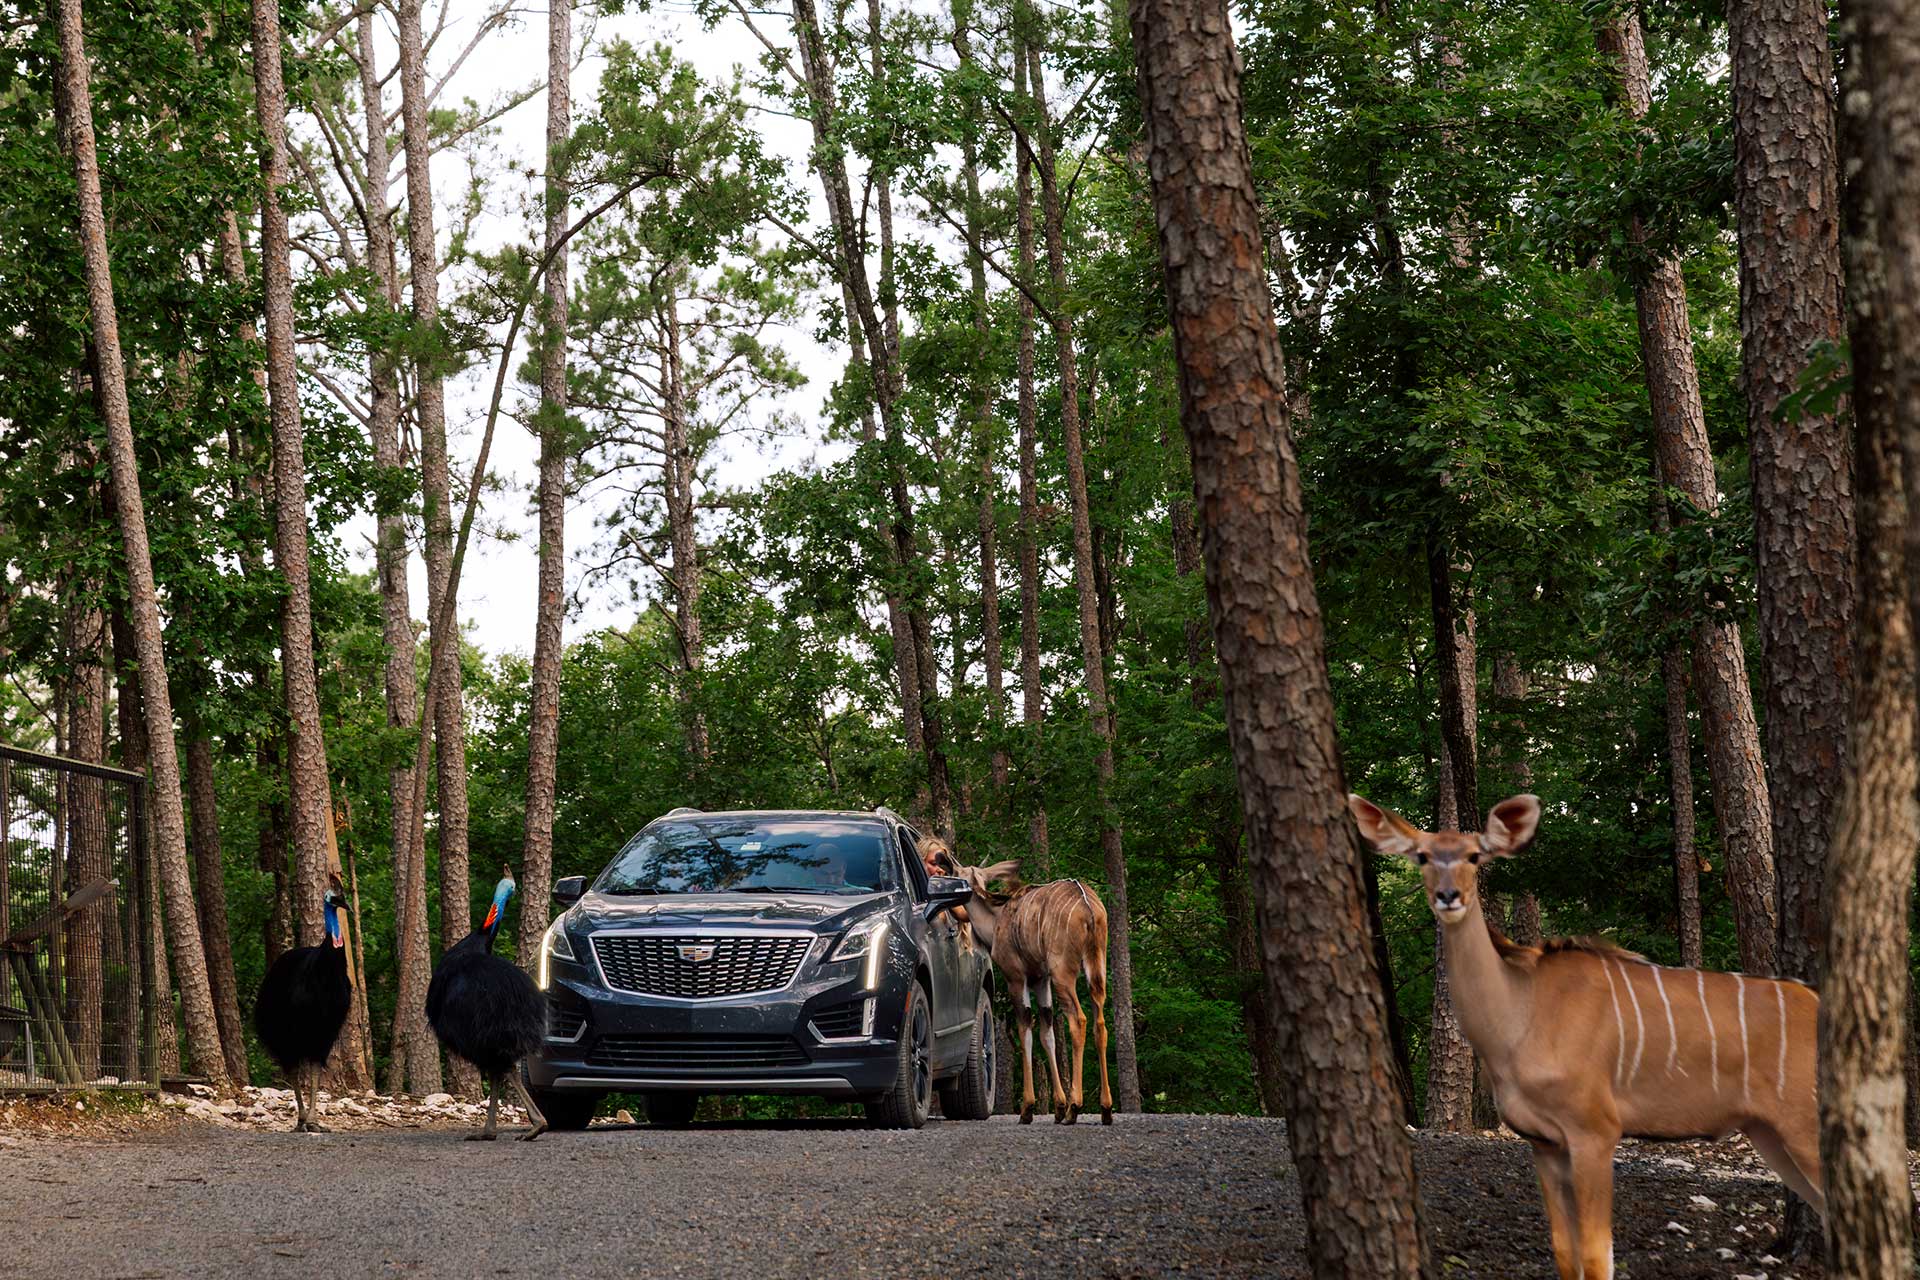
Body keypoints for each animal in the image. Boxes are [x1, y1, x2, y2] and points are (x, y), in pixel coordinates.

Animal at [954, 859, 1115, 1125]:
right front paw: (1058, 1107)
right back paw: (1106, 1109)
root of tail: (1090, 910)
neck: (996, 920)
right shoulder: (1041, 979)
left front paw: (1028, 1108)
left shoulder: (1017, 978)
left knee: (1078, 1020)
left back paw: (1075, 1108)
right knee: (1099, 1024)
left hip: (1063, 973)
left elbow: (1025, 1030)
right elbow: (1047, 1033)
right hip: (1096, 970)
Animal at [1348, 792, 1821, 1280]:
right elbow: (1564, 1250)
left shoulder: (1595, 1132)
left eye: (1475, 856)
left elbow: (1597, 1257)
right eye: (1422, 856)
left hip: (1805, 1128)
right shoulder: (1544, 1143)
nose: (1448, 896)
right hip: (1769, 1135)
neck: (1520, 1015)